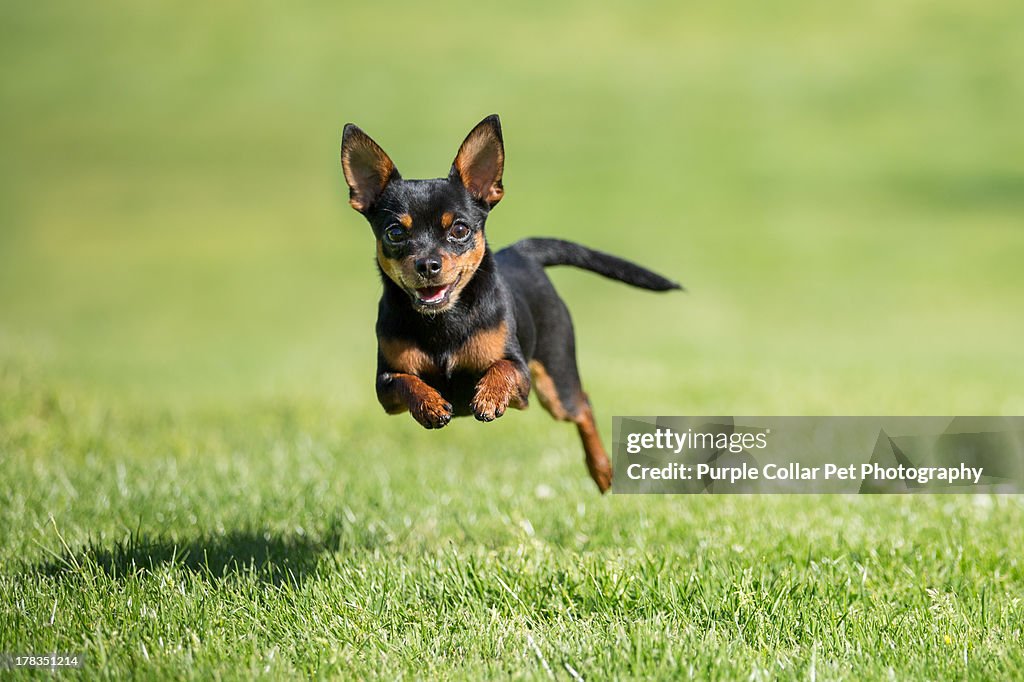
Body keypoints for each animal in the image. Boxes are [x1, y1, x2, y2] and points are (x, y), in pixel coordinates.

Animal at [339, 115, 684, 489]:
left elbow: (502, 368)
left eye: (459, 230)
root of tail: (522, 252)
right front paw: (430, 404)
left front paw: (489, 397)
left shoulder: (521, 378)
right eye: (395, 233)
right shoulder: (385, 385)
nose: (428, 265)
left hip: (555, 383)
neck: (443, 321)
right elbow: (406, 381)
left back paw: (602, 470)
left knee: (582, 405)